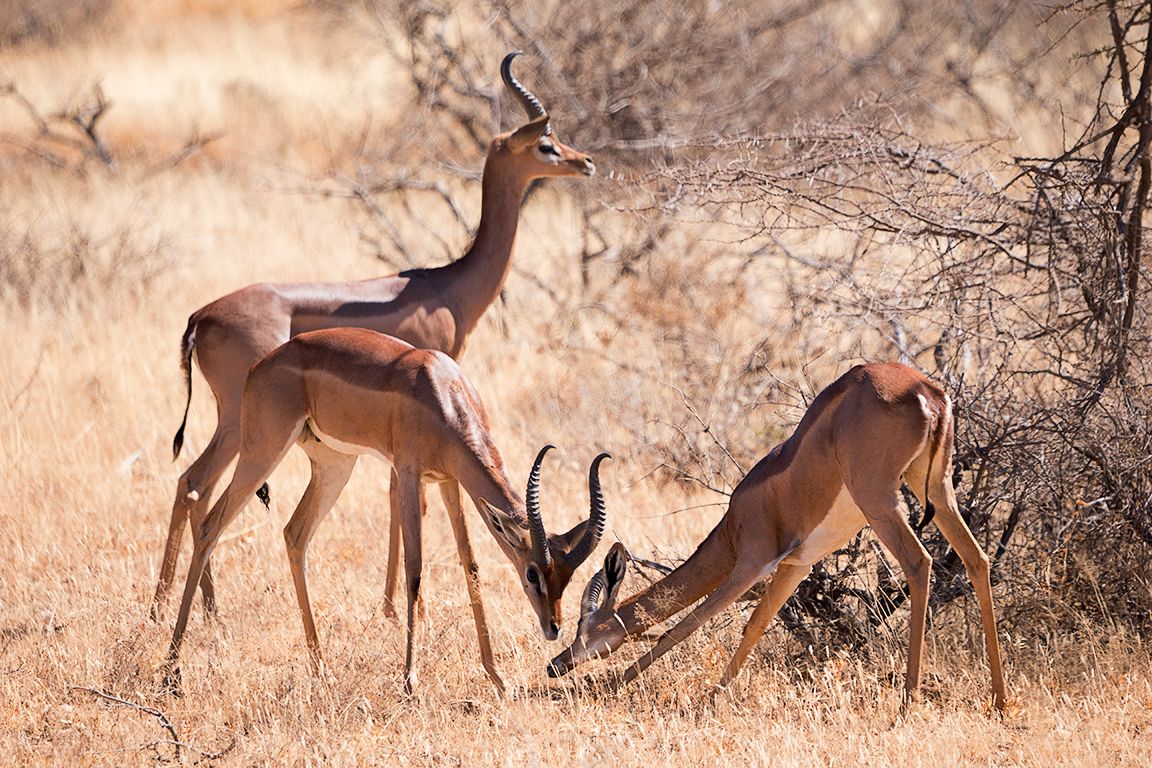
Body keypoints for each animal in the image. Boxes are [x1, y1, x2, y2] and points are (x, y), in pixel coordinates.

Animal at [151, 52, 595, 621]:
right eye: (545, 144)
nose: (585, 162)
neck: (445, 286)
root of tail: (200, 316)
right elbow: (408, 501)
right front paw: (397, 609)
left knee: (192, 486)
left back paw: (184, 606)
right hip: (239, 423)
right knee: (198, 488)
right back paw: (181, 609)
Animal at [163, 328, 609, 695]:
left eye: (566, 575)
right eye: (533, 572)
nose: (553, 627)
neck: (441, 394)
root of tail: (260, 366)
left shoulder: (449, 482)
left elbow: (470, 565)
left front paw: (496, 676)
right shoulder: (408, 473)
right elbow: (415, 569)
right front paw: (410, 680)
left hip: (334, 465)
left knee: (294, 534)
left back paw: (322, 671)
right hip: (263, 450)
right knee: (209, 523)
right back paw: (171, 671)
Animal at [548, 362, 1008, 712]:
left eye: (584, 622)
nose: (556, 663)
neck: (735, 523)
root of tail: (928, 394)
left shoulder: (751, 563)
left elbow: (688, 623)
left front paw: (613, 685)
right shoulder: (796, 564)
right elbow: (755, 624)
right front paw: (712, 698)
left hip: (879, 500)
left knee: (920, 563)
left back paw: (907, 703)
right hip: (937, 490)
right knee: (977, 559)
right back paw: (1000, 702)